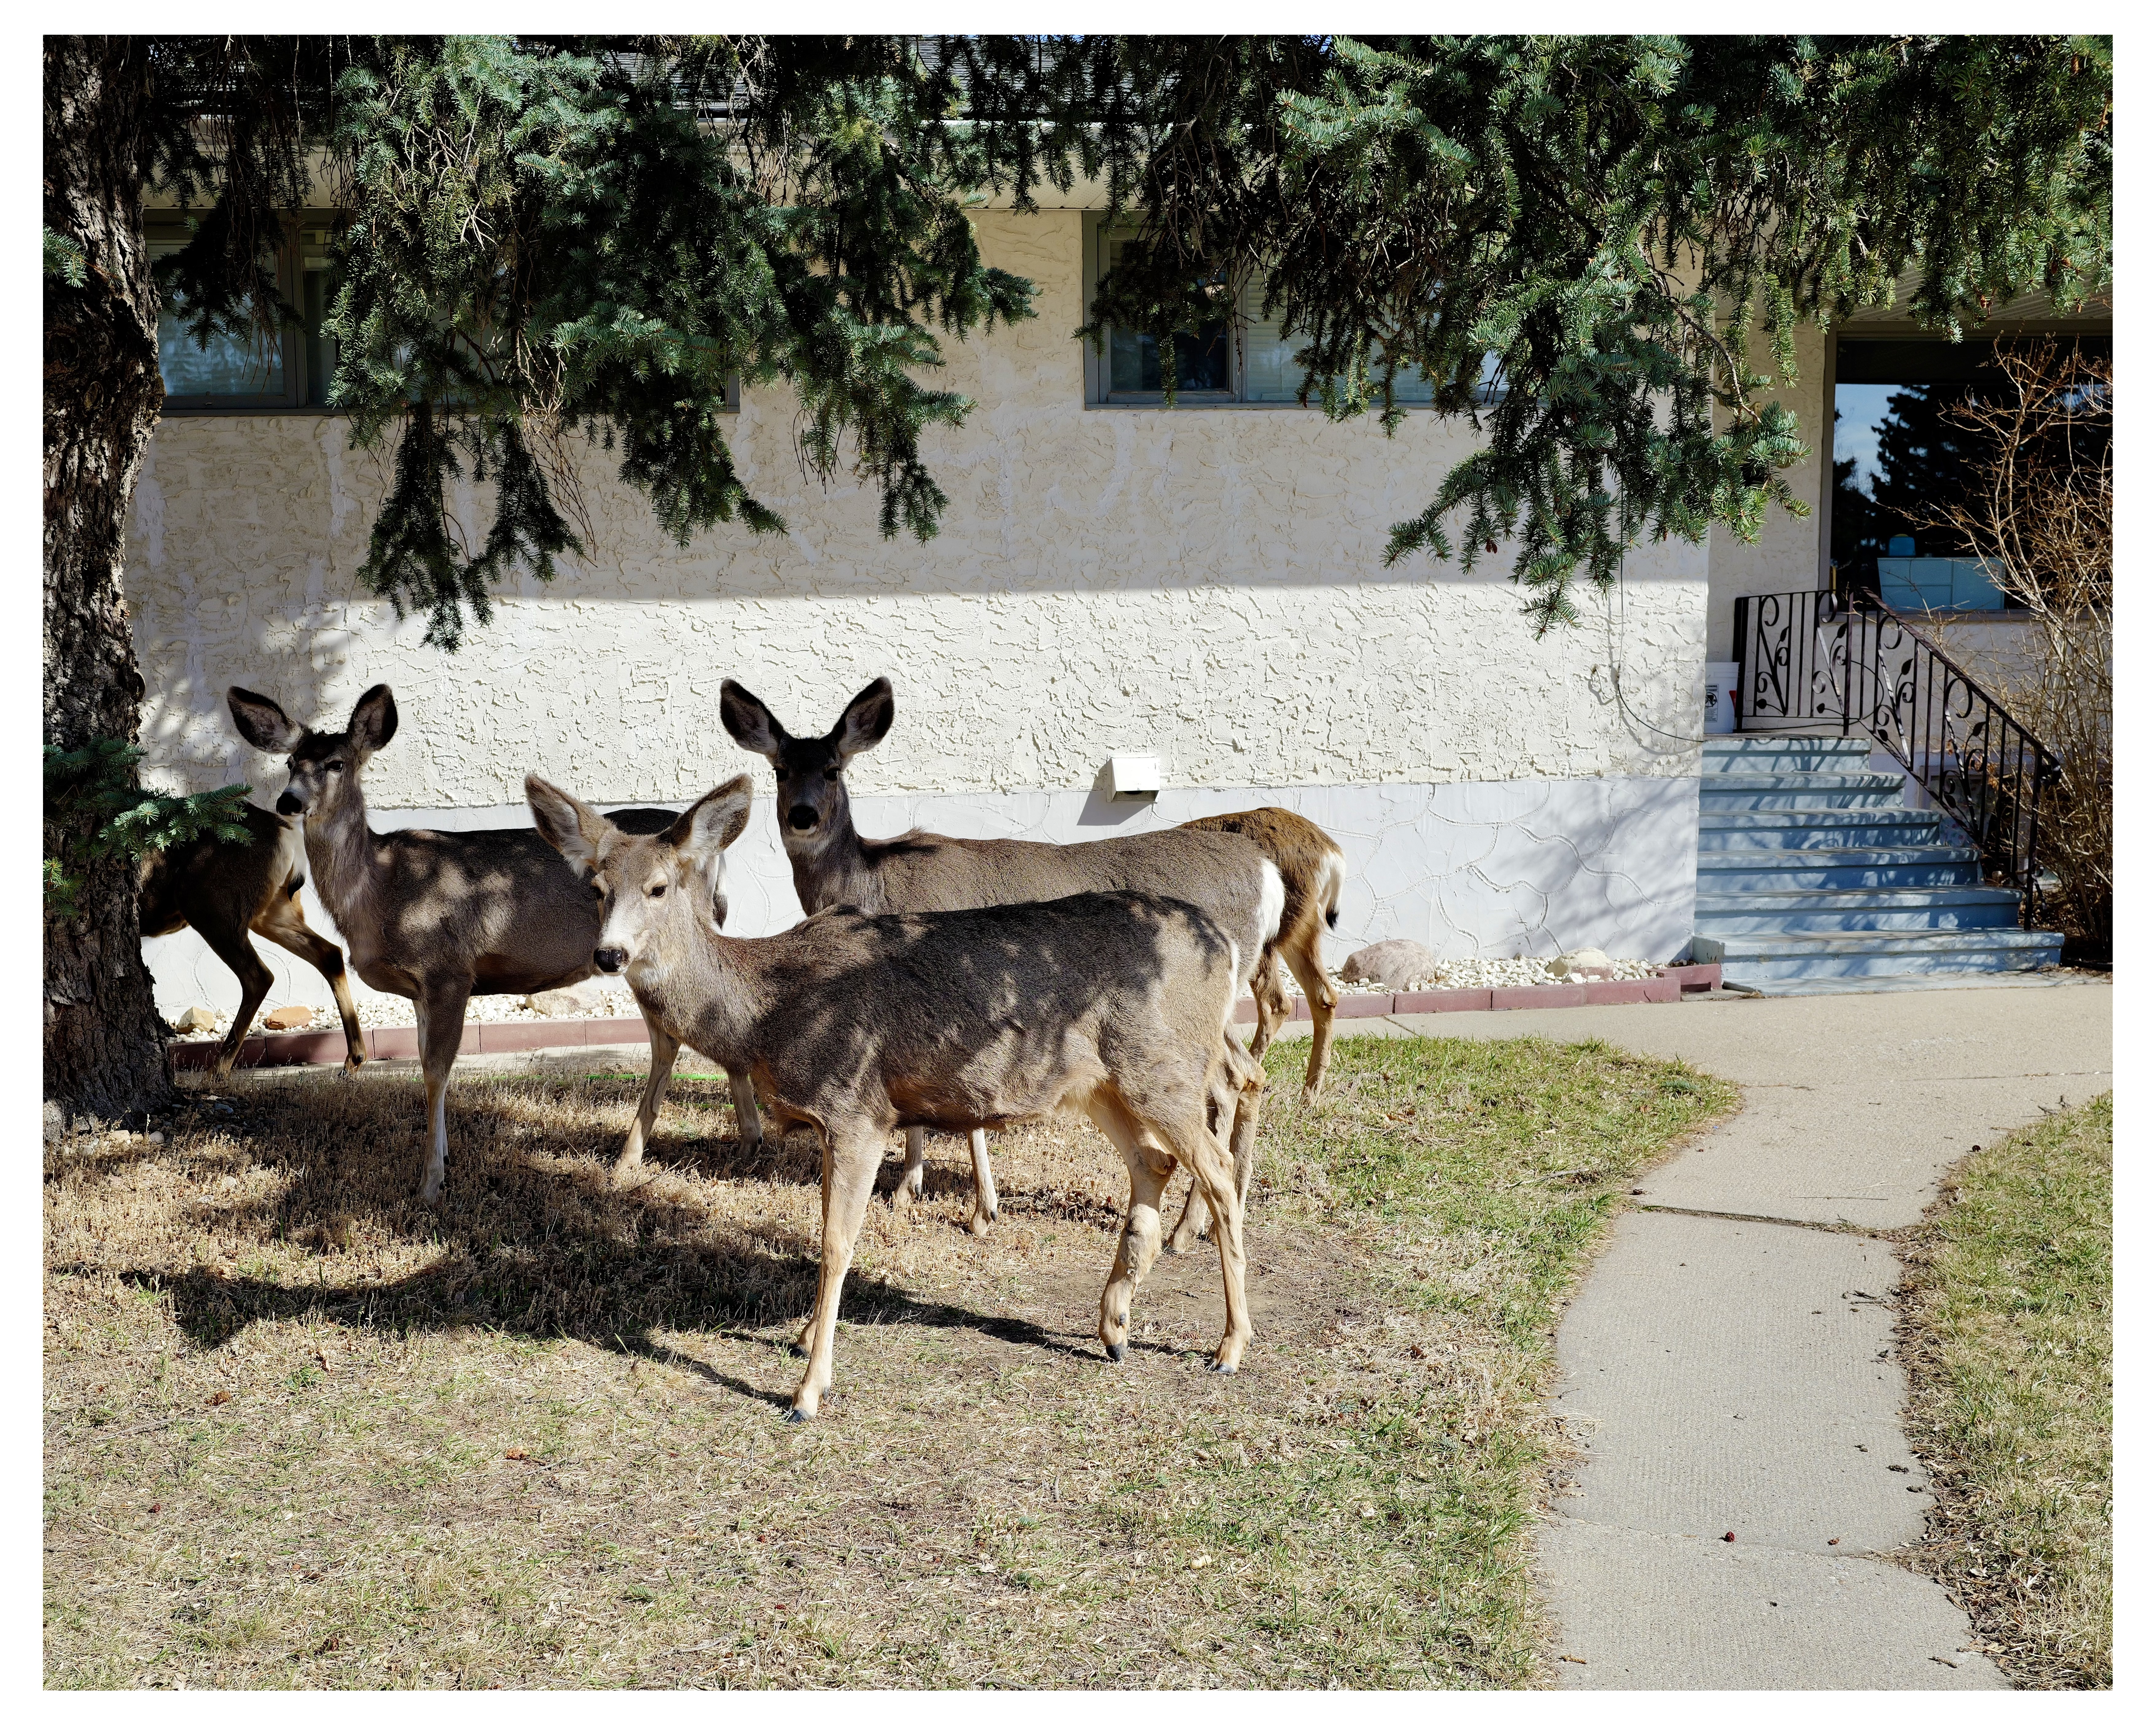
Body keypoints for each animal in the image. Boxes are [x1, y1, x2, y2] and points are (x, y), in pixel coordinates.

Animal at [138, 729, 367, 1080]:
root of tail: (287, 834)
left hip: (210, 903)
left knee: (260, 975)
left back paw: (217, 1071)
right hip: (275, 908)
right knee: (329, 952)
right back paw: (353, 1058)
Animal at [224, 684, 701, 1205]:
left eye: (336, 763)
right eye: (290, 763)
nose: (288, 802)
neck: (380, 891)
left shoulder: (448, 970)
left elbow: (435, 1070)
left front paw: (430, 1183)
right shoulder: (420, 989)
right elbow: (428, 1065)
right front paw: (446, 1156)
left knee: (675, 1032)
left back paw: (634, 1157)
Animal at [527, 770, 1267, 1421]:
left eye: (658, 887)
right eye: (596, 888)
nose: (609, 955)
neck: (767, 1009)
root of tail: (1223, 945)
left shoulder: (859, 1107)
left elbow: (837, 1243)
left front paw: (808, 1390)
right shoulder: (830, 1121)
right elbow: (827, 1232)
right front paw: (804, 1339)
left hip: (1164, 1064)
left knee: (1219, 1167)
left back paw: (1229, 1346)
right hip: (1103, 1083)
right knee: (1155, 1162)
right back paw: (1114, 1325)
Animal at [718, 676, 1324, 1247]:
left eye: (832, 769)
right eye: (779, 770)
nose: (803, 816)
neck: (873, 885)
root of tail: (1268, 874)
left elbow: (968, 1119)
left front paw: (975, 1208)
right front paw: (913, 1187)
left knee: (1227, 1082)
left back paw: (1186, 1228)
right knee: (1246, 1077)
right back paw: (1219, 1212)